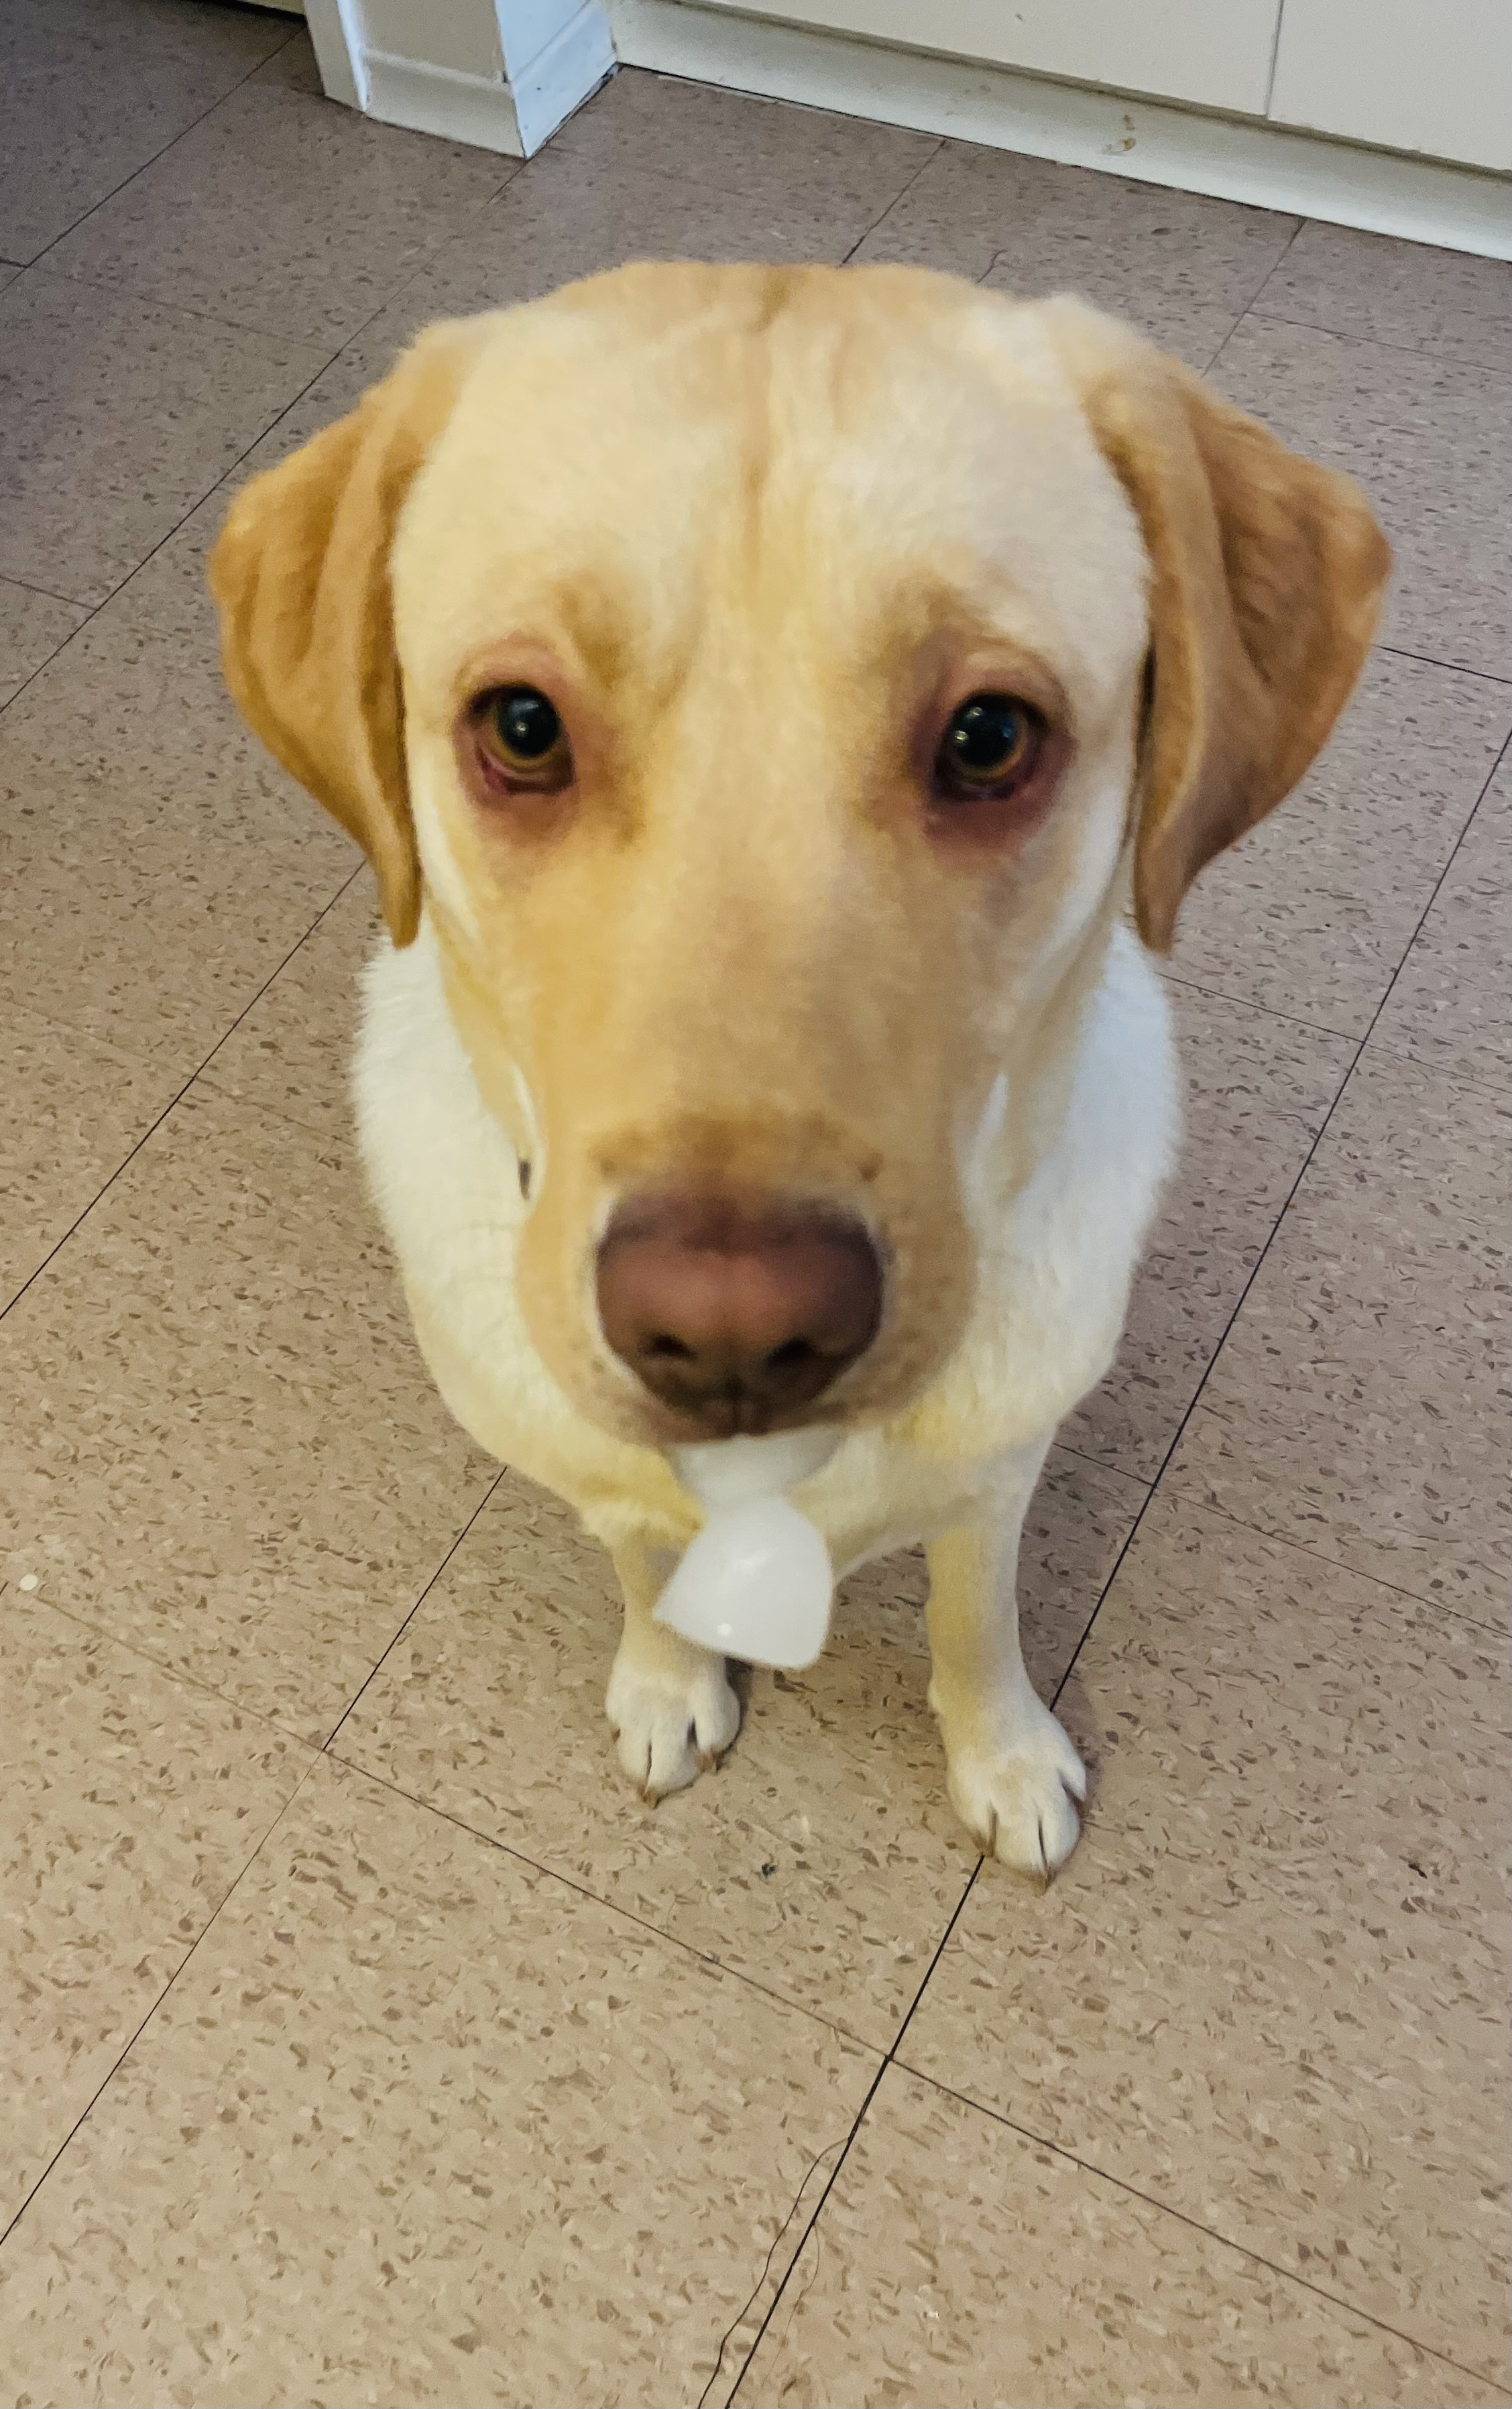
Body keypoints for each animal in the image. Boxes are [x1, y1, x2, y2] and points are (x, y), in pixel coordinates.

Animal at [210, 262, 1388, 1879]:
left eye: (988, 736)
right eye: (521, 726)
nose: (731, 1330)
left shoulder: (998, 1476)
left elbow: (972, 1619)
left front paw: (1002, 1755)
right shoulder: (605, 1481)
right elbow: (643, 1564)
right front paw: (666, 1680)